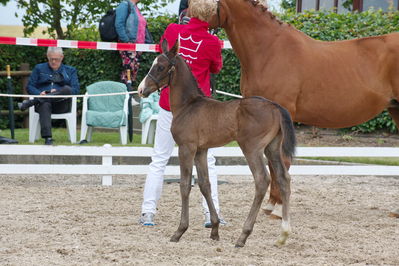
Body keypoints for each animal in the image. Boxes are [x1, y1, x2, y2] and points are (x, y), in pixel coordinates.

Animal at [138, 40, 296, 247]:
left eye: (161, 67)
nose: (141, 89)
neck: (188, 105)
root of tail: (274, 106)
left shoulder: (186, 148)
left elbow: (185, 185)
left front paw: (180, 231)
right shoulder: (201, 151)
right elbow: (205, 184)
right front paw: (214, 229)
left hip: (251, 148)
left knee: (262, 180)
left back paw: (243, 235)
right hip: (272, 148)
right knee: (284, 179)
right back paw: (283, 235)